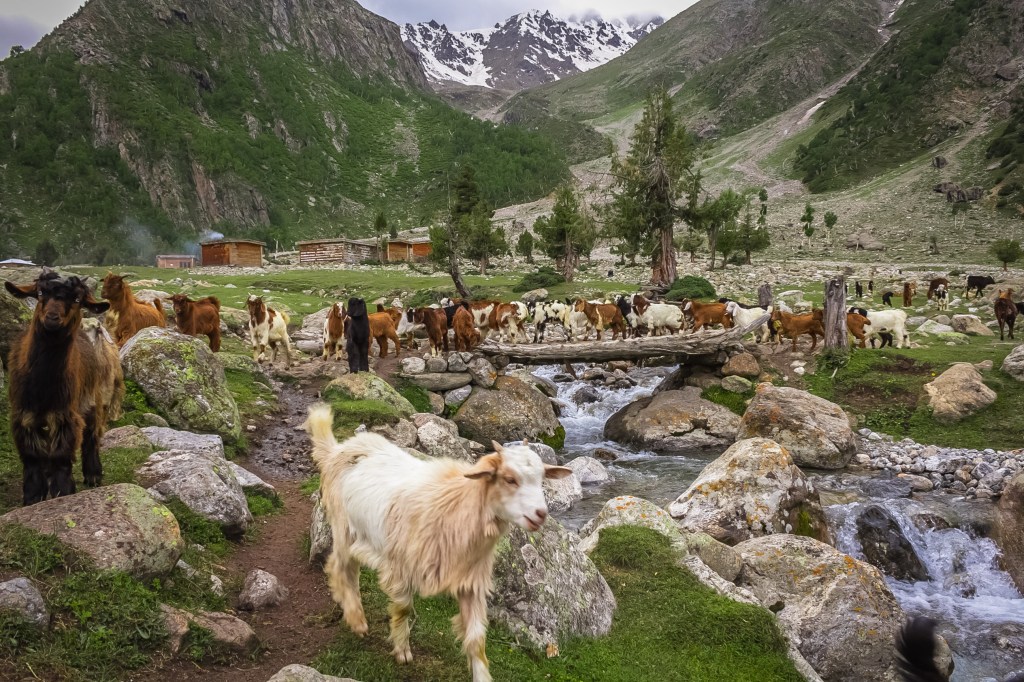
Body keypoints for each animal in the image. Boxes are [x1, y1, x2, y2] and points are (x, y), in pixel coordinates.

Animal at [5, 272, 125, 504]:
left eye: (77, 299)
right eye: (40, 293)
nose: (52, 318)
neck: (43, 384)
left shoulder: (66, 415)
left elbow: (62, 456)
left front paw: (63, 492)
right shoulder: (23, 415)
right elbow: (32, 457)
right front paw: (33, 497)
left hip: (94, 399)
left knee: (91, 437)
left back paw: (93, 474)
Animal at [305, 404, 571, 682]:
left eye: (542, 479)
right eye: (509, 479)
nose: (540, 514)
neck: (459, 507)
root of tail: (338, 450)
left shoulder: (471, 583)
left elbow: (477, 640)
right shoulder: (401, 567)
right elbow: (403, 609)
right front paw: (402, 649)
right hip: (343, 527)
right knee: (340, 567)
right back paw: (356, 619)